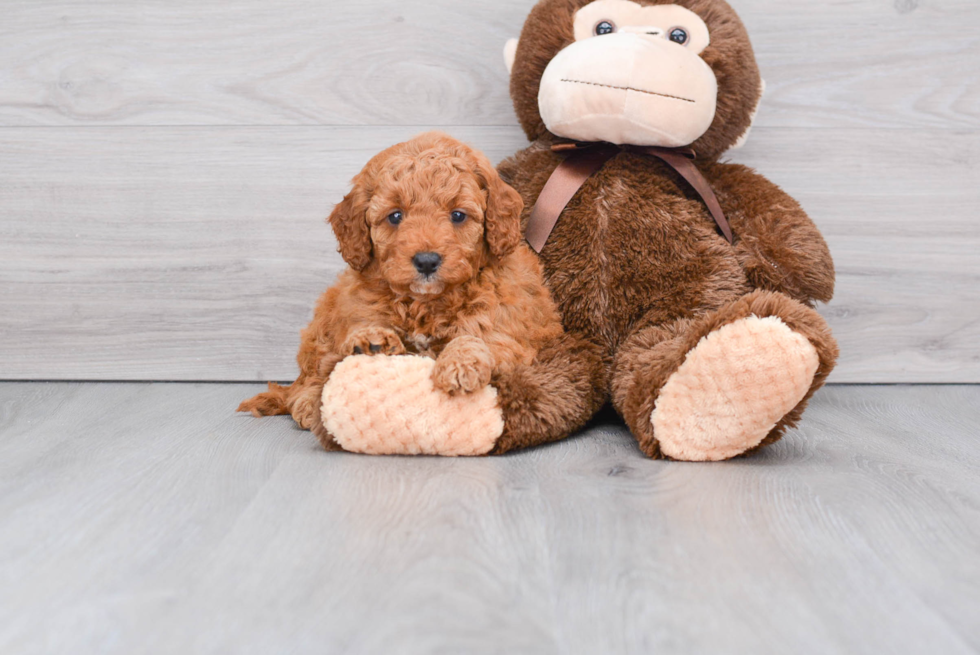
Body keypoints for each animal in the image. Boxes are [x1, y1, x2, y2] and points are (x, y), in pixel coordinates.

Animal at [238, 131, 572, 448]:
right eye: (395, 215)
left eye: (458, 215)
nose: (426, 261)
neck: (426, 302)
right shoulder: (359, 309)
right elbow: (358, 336)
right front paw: (372, 342)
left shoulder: (507, 329)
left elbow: (477, 338)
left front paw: (459, 364)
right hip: (323, 322)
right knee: (309, 375)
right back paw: (307, 403)